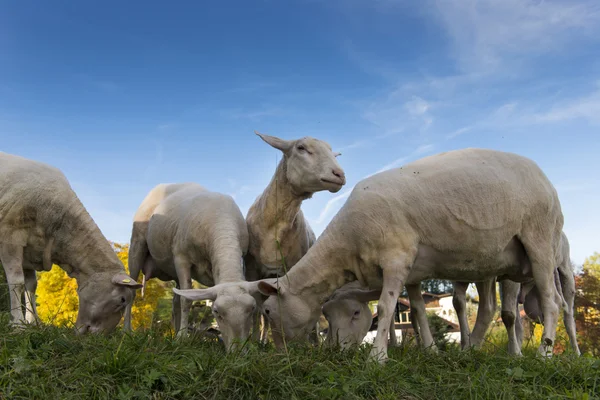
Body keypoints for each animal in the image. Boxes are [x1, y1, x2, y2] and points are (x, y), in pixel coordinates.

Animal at [0, 153, 142, 334]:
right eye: (122, 299)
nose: (98, 336)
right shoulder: (11, 237)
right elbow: (17, 283)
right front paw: (18, 324)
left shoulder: (29, 252)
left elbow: (31, 286)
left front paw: (34, 323)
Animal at [123, 183, 262, 352]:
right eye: (216, 312)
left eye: (252, 308)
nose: (238, 352)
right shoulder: (181, 257)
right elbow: (186, 300)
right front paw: (182, 338)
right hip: (137, 244)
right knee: (132, 292)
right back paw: (127, 331)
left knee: (175, 301)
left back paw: (175, 332)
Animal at [245, 130, 346, 340]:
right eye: (301, 147)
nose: (339, 175)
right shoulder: (251, 271)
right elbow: (257, 311)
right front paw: (252, 342)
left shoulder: (293, 267)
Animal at [258, 148, 568, 364]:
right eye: (326, 315)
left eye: (269, 312)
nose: (282, 354)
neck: (348, 245)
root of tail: (545, 178)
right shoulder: (414, 271)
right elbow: (417, 311)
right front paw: (431, 351)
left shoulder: (397, 257)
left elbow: (386, 307)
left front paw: (377, 358)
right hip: (492, 260)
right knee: (489, 307)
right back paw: (468, 352)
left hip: (539, 240)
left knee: (552, 303)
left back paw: (543, 355)